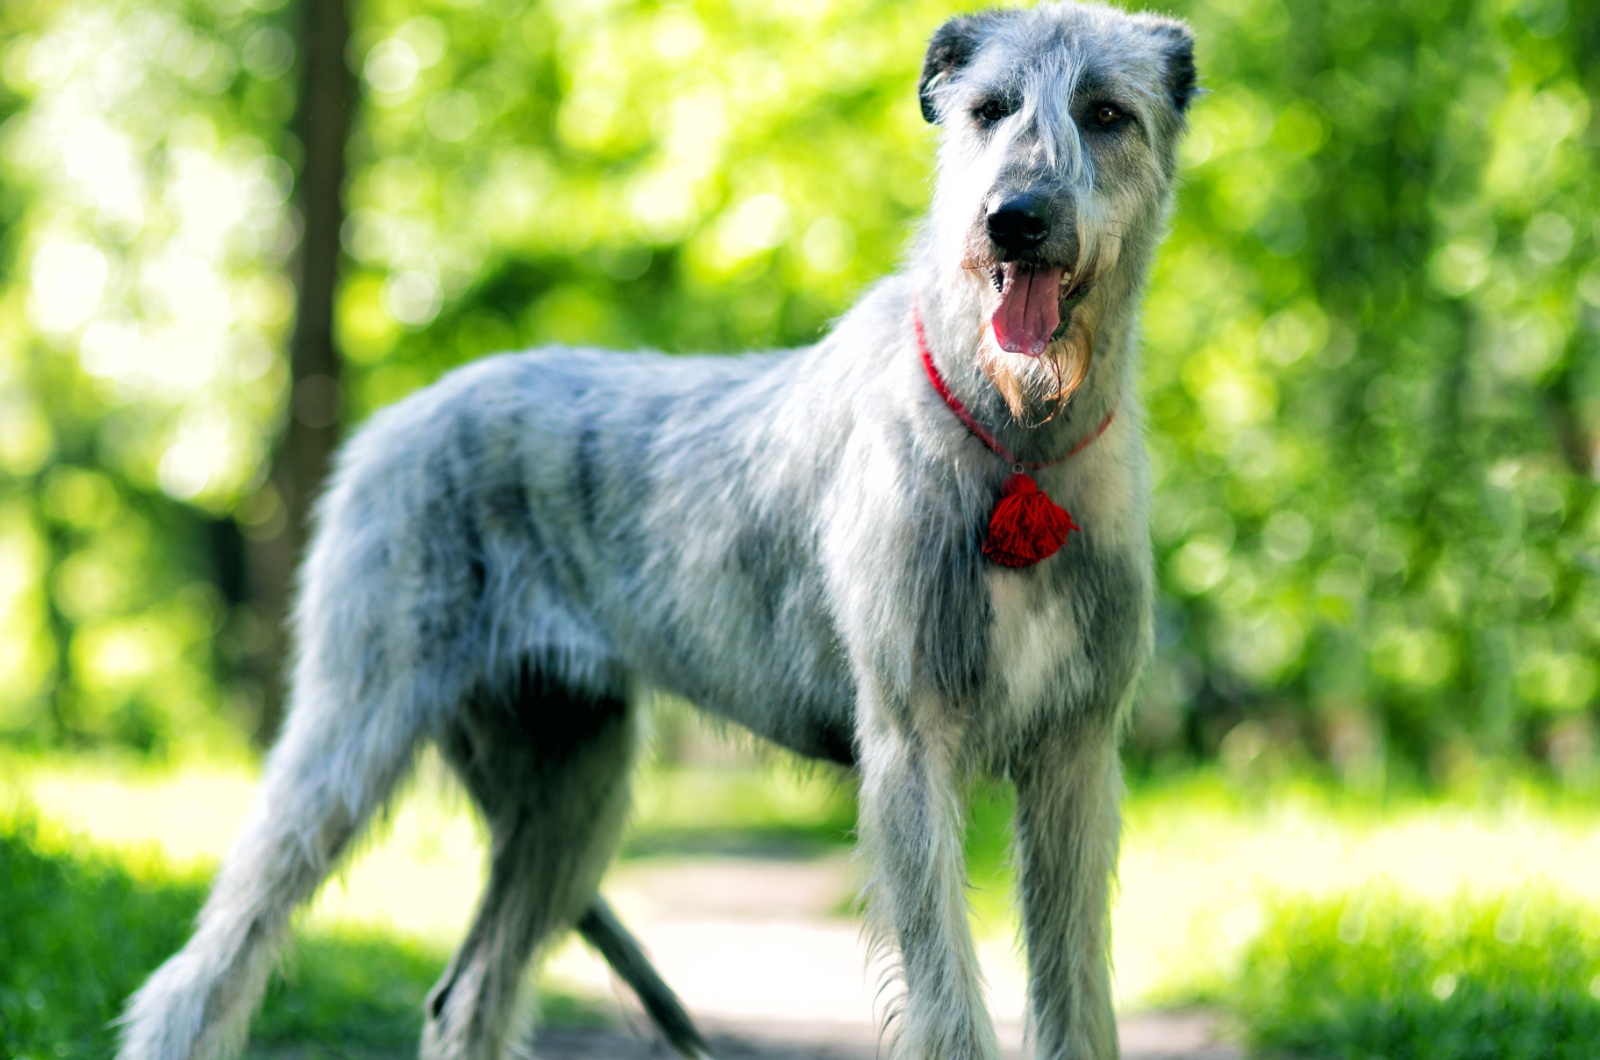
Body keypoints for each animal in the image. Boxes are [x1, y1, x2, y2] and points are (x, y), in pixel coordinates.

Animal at [118, 4, 1196, 1056]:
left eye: (1106, 112)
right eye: (988, 108)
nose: (1014, 220)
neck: (1017, 439)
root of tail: (395, 419)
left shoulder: (1074, 761)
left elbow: (1077, 1000)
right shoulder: (909, 746)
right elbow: (946, 1005)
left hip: (568, 787)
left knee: (469, 994)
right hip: (357, 723)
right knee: (206, 970)